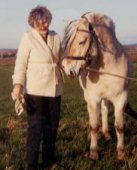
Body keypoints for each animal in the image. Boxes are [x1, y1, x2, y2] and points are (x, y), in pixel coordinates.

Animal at [62, 12, 133, 161]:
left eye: (81, 41)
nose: (66, 68)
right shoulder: (94, 99)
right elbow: (94, 125)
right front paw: (94, 152)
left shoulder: (120, 98)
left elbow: (120, 126)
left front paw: (121, 152)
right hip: (89, 98)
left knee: (105, 110)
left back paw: (106, 133)